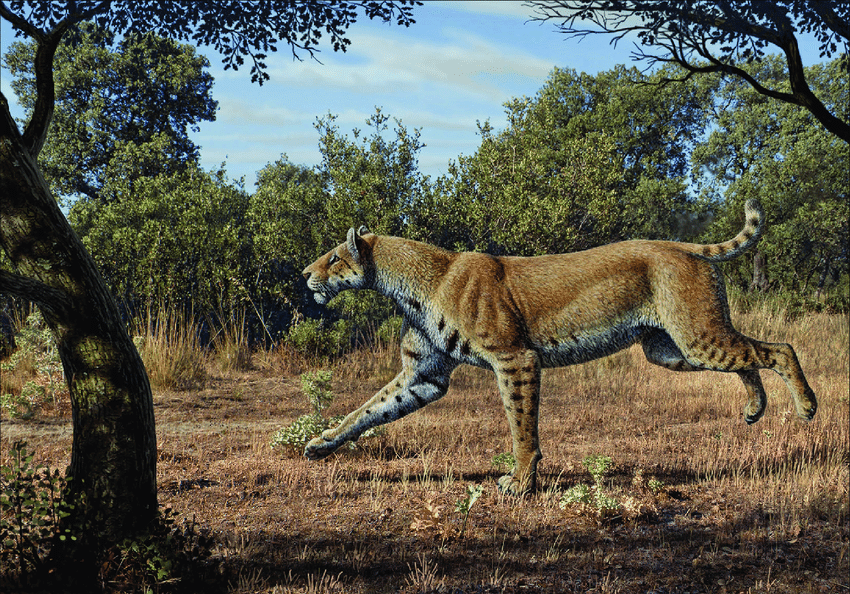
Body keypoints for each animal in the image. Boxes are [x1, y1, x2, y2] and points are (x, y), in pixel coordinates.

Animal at [301, 200, 817, 495]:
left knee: (781, 348)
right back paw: (754, 408)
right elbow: (369, 409)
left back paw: (808, 407)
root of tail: (682, 244)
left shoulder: (515, 357)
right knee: (751, 357)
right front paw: (321, 443)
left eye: (334, 258)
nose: (305, 275)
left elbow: (521, 424)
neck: (409, 285)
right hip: (673, 350)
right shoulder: (424, 375)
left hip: (696, 337)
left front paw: (519, 483)